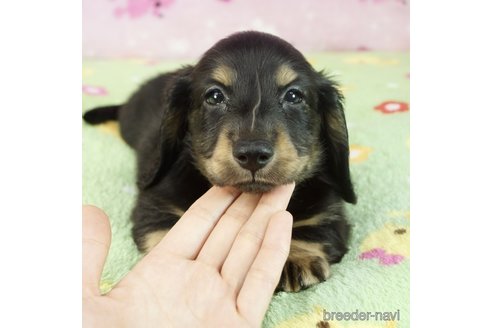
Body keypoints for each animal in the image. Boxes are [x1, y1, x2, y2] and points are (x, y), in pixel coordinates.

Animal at [82, 31, 356, 292]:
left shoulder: (328, 210)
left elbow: (315, 225)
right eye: (214, 96)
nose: (253, 154)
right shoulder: (155, 204)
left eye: (294, 95)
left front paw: (296, 257)